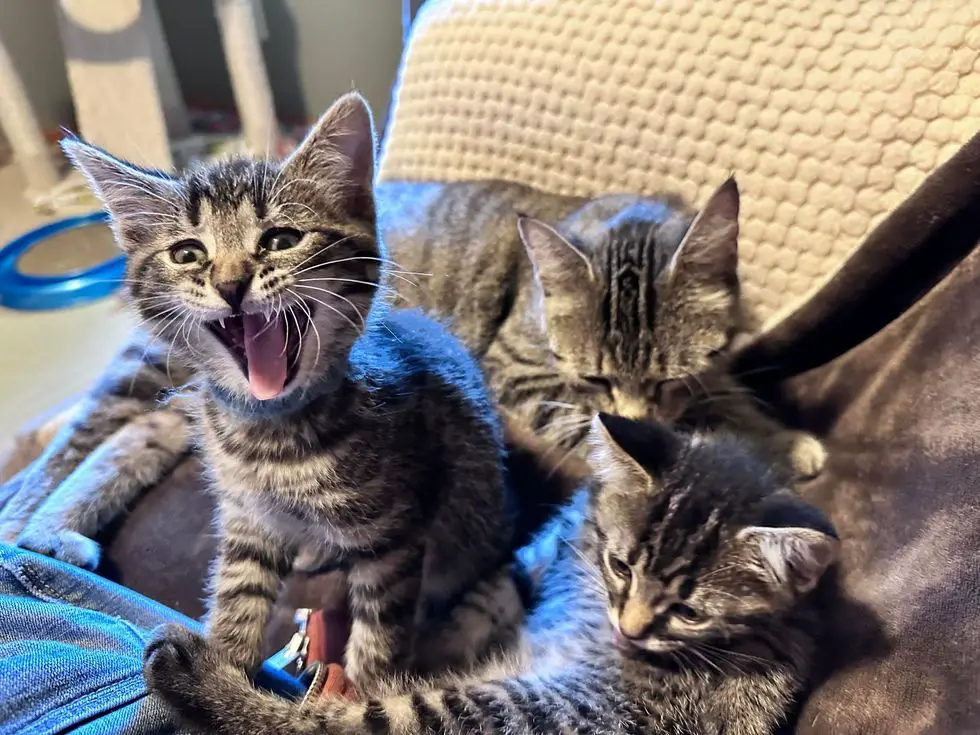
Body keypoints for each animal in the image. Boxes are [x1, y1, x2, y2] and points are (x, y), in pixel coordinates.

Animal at [64, 90, 524, 688]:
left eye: (281, 240)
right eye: (187, 253)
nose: (231, 284)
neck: (270, 434)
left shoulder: (396, 537)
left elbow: (379, 637)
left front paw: (361, 690)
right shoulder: (247, 517)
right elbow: (239, 593)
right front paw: (217, 671)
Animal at [142, 414, 840, 735]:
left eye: (690, 612)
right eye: (620, 565)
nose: (631, 628)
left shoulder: (569, 708)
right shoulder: (538, 554)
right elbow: (486, 597)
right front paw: (436, 640)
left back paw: (195, 678)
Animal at [378, 178, 824, 478]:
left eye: (669, 379)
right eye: (596, 379)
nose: (638, 420)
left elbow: (729, 394)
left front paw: (778, 438)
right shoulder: (512, 367)